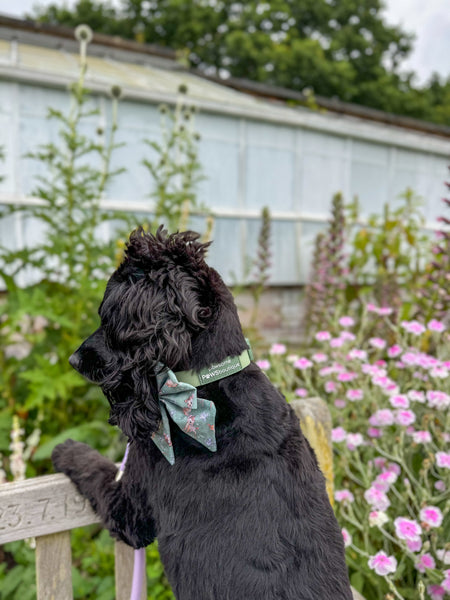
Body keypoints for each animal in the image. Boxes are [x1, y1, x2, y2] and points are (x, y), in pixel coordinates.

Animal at [52, 227, 354, 600]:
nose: (73, 360)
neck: (205, 385)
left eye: (110, 319)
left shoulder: (130, 505)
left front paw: (65, 449)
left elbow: (93, 468)